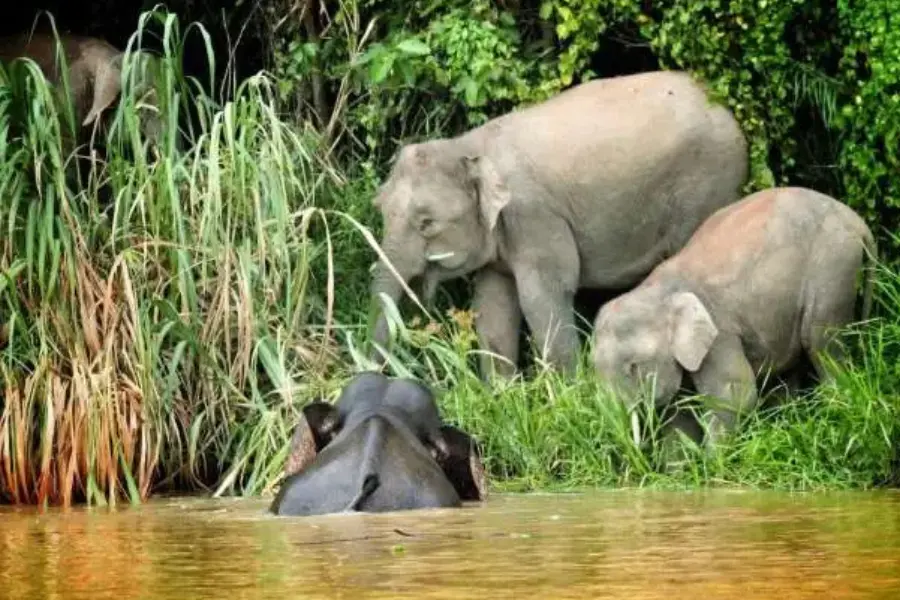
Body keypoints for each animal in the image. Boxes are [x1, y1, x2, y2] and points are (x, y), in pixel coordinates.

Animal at [367, 69, 749, 378]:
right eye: (381, 209)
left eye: (426, 222)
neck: (469, 146)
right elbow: (492, 305)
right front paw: (503, 393)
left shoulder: (534, 216)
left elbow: (543, 296)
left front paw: (567, 392)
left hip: (707, 186)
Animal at [591, 186, 876, 447]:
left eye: (633, 367)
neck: (658, 290)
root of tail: (855, 219)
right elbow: (680, 414)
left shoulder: (721, 334)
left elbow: (736, 395)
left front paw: (714, 464)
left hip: (832, 269)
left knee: (821, 344)